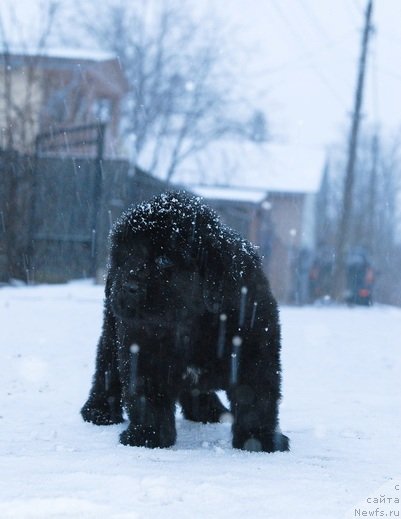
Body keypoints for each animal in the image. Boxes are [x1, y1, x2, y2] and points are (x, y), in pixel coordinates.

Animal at [80, 191, 288, 450]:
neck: (190, 324)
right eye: (123, 259)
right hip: (111, 331)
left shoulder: (253, 349)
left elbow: (256, 397)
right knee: (106, 366)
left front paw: (258, 440)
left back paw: (208, 410)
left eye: (163, 260)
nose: (127, 286)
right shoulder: (140, 348)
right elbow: (146, 394)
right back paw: (98, 411)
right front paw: (148, 435)